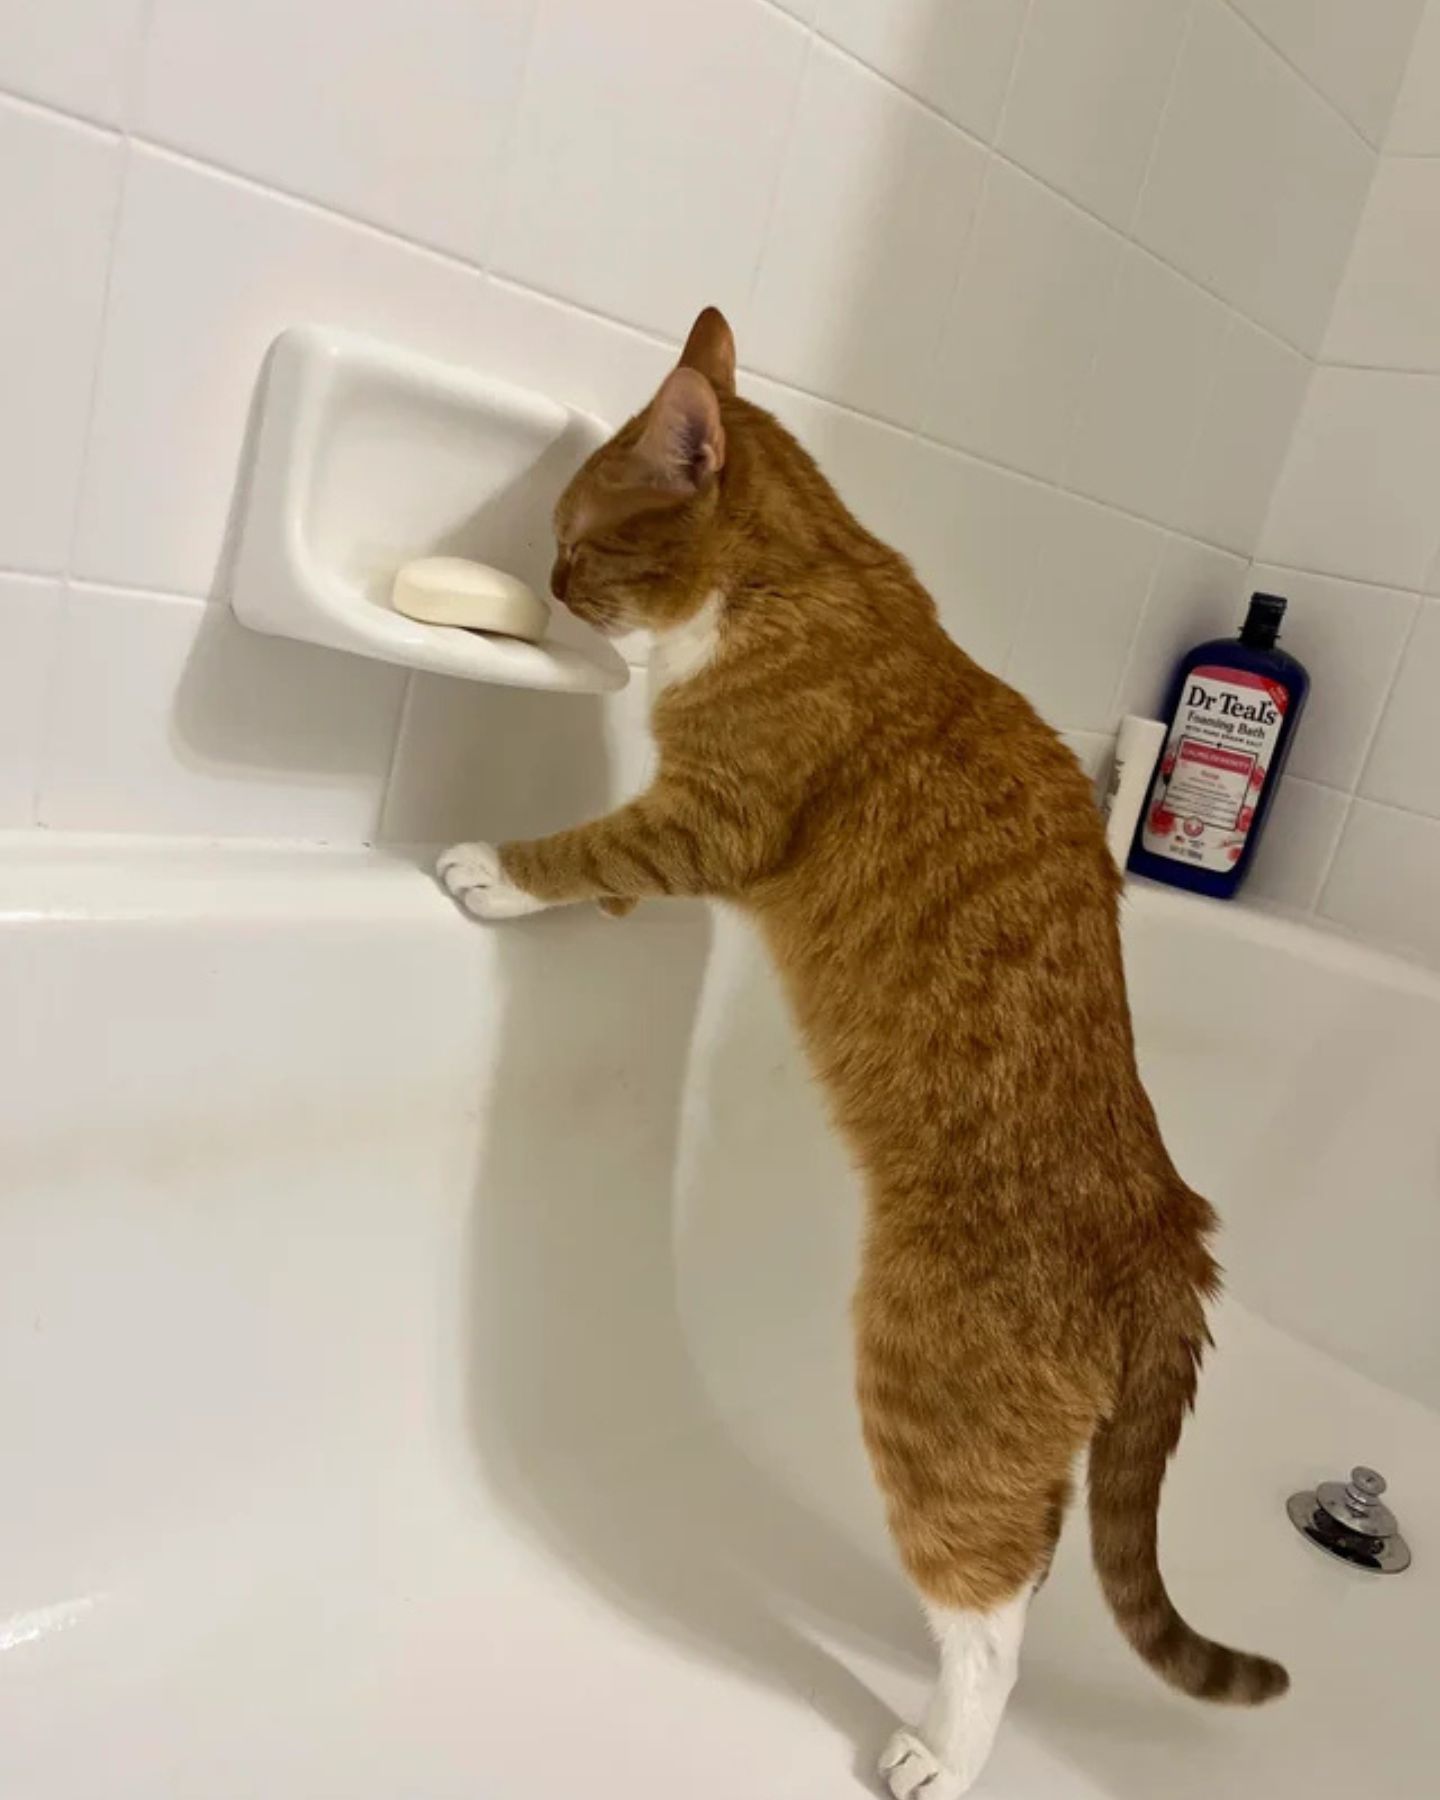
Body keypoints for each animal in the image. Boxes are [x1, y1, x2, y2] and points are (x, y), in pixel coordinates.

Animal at [435, 306, 1281, 1785]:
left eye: (578, 538)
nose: (547, 582)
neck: (805, 580)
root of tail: (1165, 1233)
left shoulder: (710, 817)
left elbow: (591, 845)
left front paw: (494, 868)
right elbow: (616, 873)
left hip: (931, 1398)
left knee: (988, 1609)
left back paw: (941, 1751)